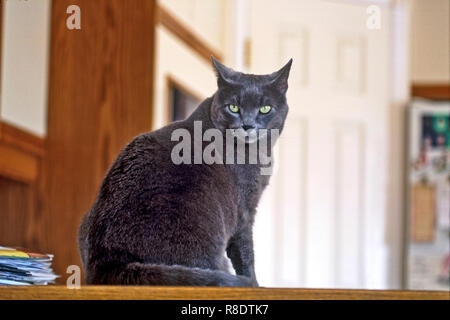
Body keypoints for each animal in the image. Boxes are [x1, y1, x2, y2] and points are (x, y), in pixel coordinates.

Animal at [77, 57, 292, 284]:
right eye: (233, 107)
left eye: (265, 108)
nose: (248, 125)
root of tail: (111, 262)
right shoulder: (244, 209)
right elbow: (246, 253)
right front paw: (256, 284)